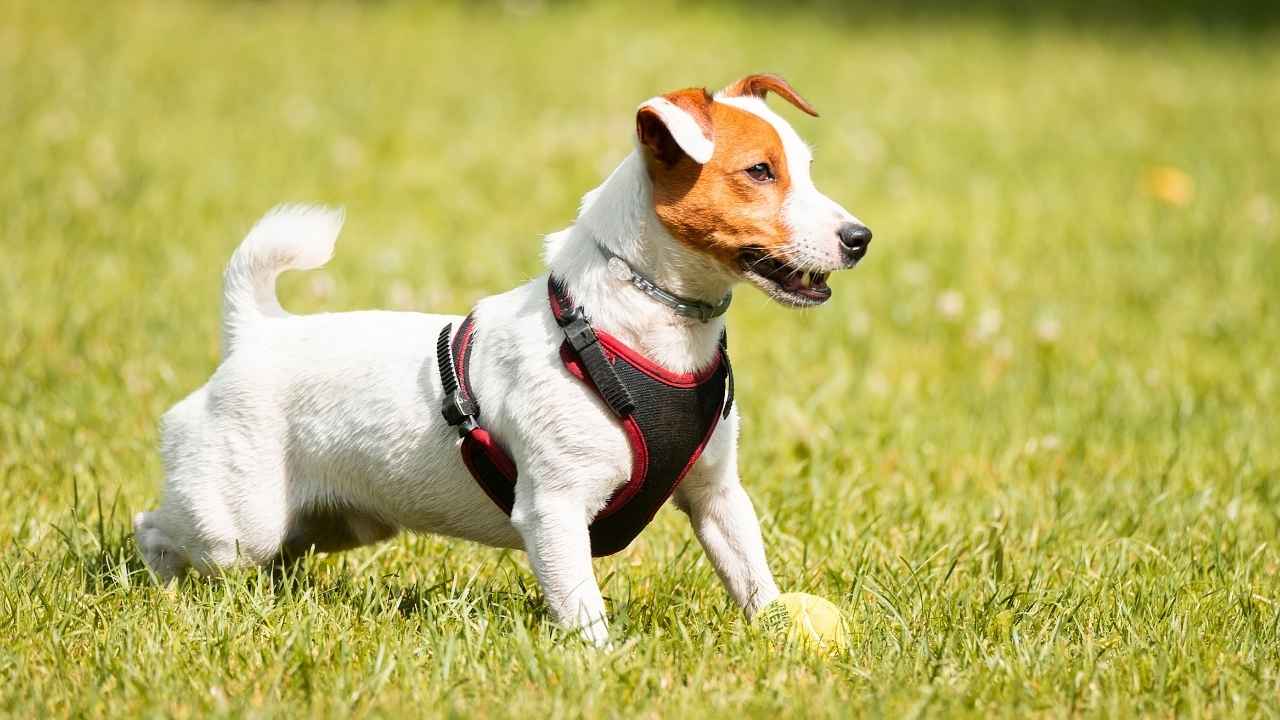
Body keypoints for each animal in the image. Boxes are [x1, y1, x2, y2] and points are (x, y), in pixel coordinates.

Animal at [135, 75, 875, 640]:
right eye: (759, 172)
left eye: (806, 168)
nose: (860, 237)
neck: (640, 330)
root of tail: (257, 331)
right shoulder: (555, 510)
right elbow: (582, 605)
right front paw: (599, 665)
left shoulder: (717, 497)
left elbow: (751, 575)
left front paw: (778, 633)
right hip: (236, 519)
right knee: (158, 529)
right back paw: (160, 589)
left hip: (332, 522)